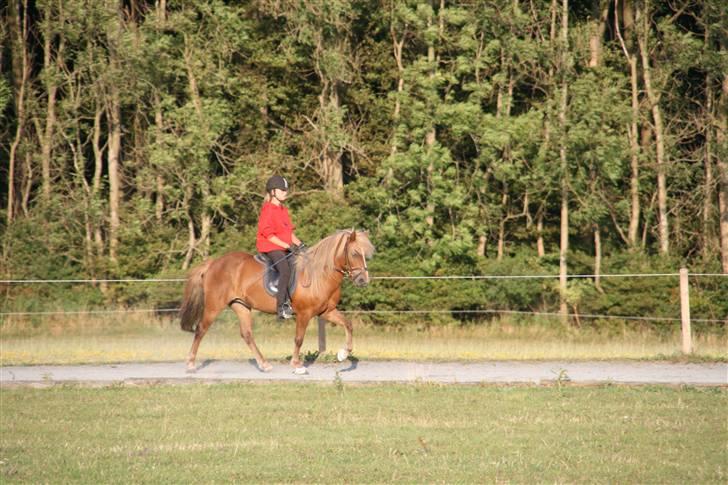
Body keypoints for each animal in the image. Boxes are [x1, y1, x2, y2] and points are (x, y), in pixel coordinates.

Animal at [178, 229, 372, 372]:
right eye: (354, 253)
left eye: (366, 254)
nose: (363, 280)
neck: (319, 274)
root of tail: (213, 263)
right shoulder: (304, 313)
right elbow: (299, 339)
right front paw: (296, 364)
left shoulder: (326, 312)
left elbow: (348, 325)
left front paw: (343, 354)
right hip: (213, 306)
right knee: (201, 330)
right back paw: (190, 364)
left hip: (241, 305)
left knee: (247, 334)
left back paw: (264, 364)